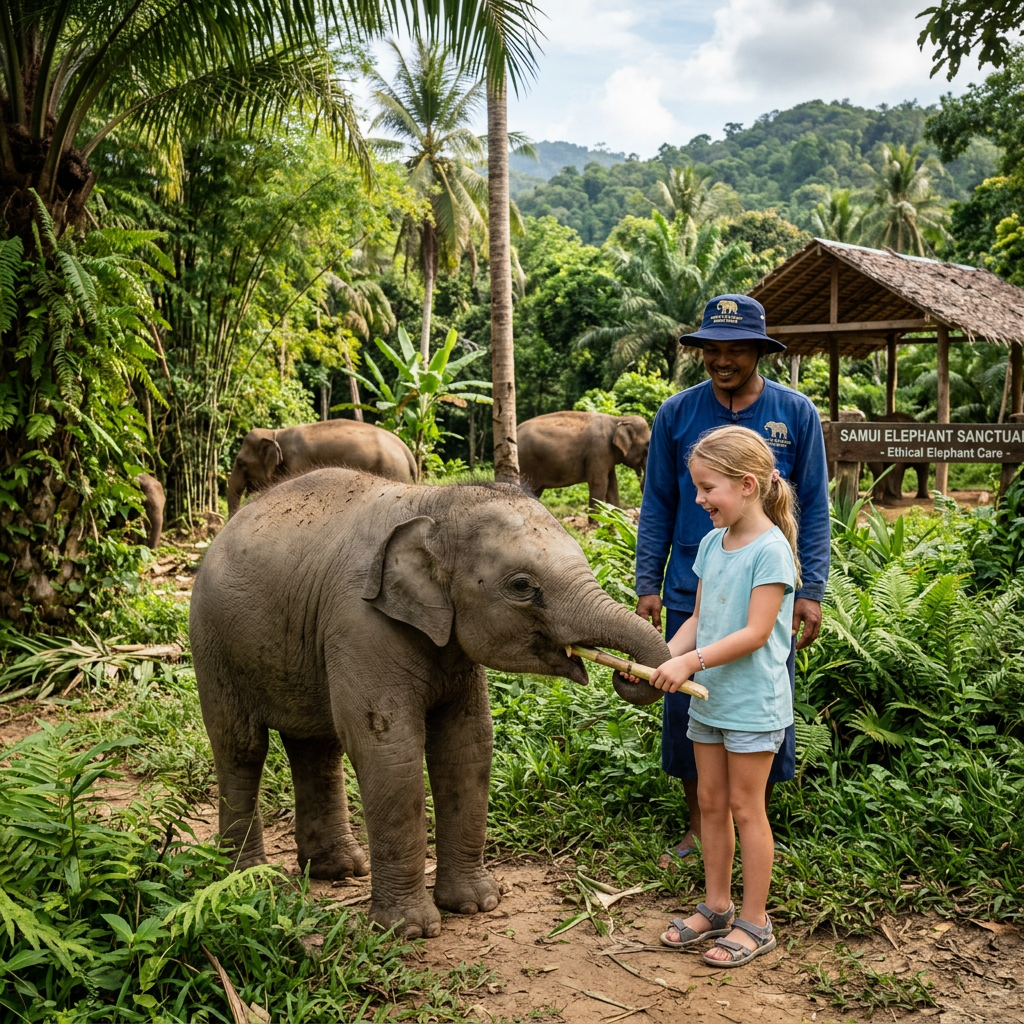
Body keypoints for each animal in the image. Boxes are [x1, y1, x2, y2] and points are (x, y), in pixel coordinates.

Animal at [190, 468, 669, 938]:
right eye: (521, 586)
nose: (628, 673)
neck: (434, 504)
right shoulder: (359, 623)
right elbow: (389, 751)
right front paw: (411, 930)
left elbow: (467, 745)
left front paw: (476, 905)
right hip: (214, 642)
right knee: (242, 748)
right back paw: (246, 879)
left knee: (317, 747)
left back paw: (338, 870)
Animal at [517, 411, 651, 511]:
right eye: (647, 446)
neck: (619, 419)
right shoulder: (598, 450)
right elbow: (599, 482)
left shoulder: (607, 456)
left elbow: (613, 483)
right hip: (526, 463)